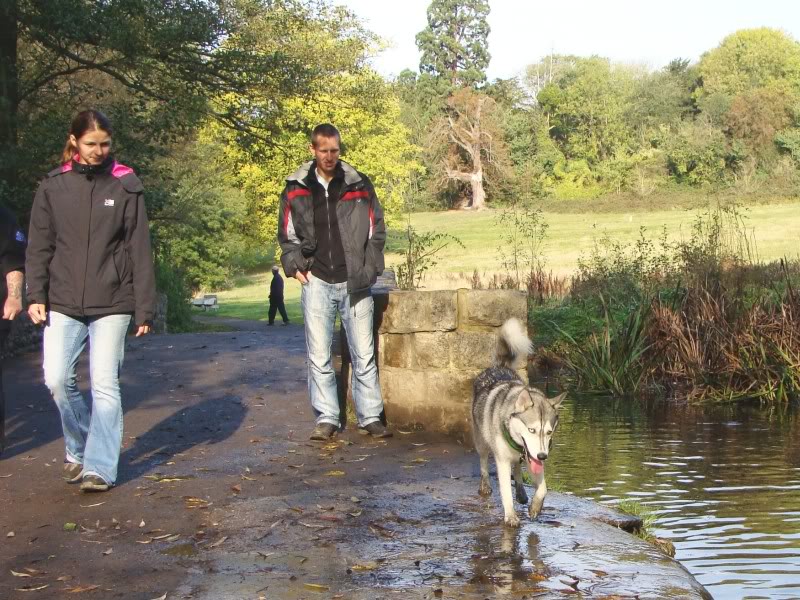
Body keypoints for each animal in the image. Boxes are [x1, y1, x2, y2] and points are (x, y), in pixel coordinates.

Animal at [472, 318, 564, 524]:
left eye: (549, 432)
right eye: (531, 430)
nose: (542, 456)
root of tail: (499, 366)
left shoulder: (532, 457)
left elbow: (543, 488)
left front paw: (536, 507)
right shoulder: (502, 460)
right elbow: (506, 491)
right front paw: (510, 516)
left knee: (517, 468)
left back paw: (521, 493)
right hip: (481, 441)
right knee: (483, 462)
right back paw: (485, 485)